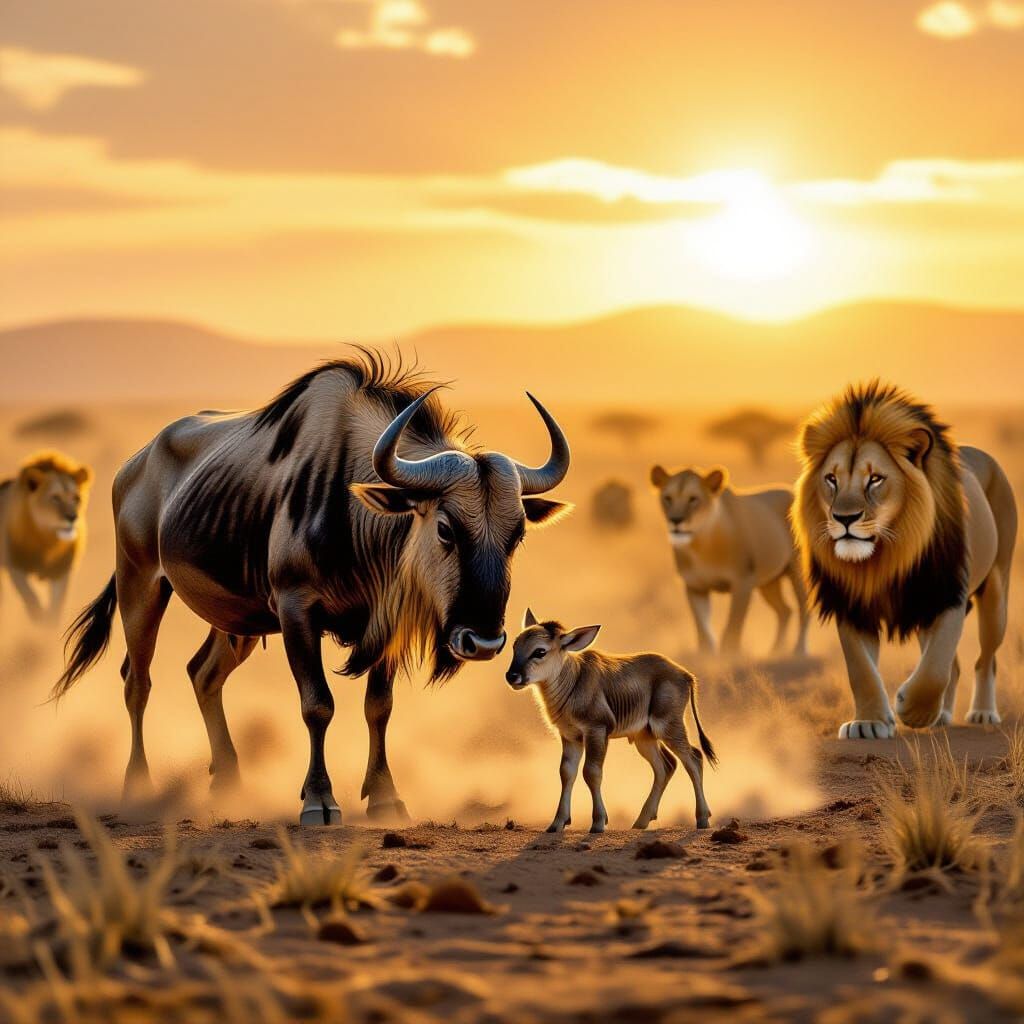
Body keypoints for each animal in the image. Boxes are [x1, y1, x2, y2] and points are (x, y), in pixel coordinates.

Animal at [54, 351, 572, 824]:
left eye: (516, 534)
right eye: (446, 528)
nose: (483, 642)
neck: (353, 509)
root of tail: (133, 466)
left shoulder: (383, 624)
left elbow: (379, 706)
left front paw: (385, 796)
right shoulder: (296, 611)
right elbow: (317, 705)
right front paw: (319, 800)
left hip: (236, 621)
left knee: (203, 674)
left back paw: (229, 784)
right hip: (140, 587)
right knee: (137, 681)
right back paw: (138, 787)